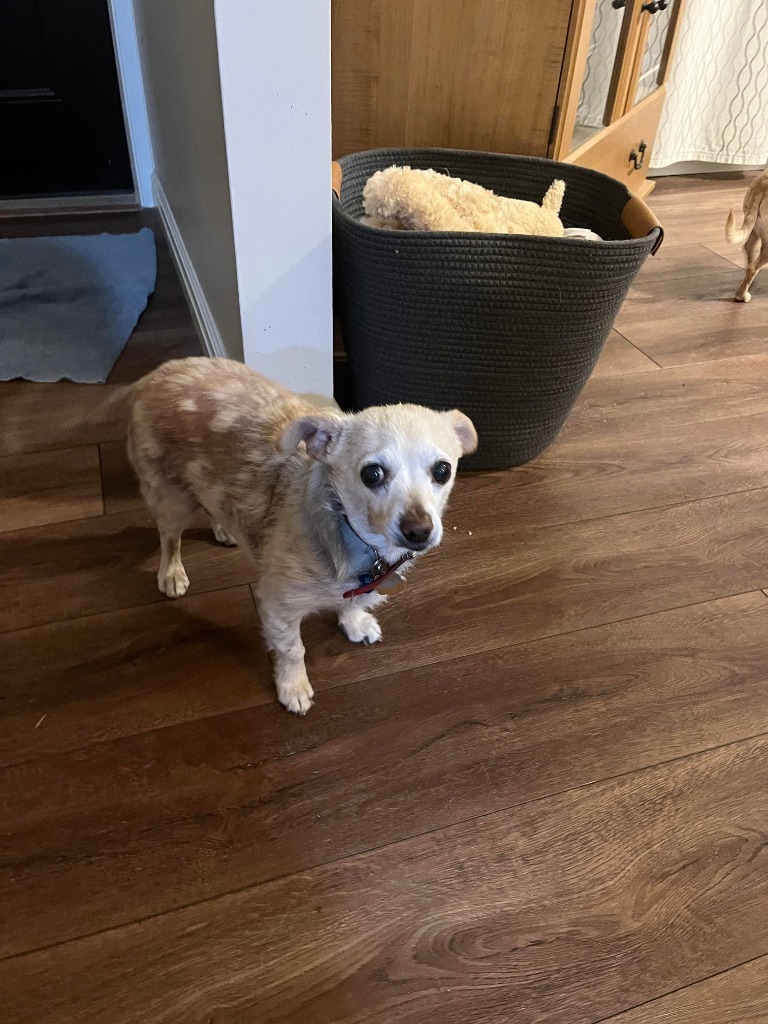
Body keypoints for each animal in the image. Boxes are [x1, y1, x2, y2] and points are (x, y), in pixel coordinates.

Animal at [128, 358, 475, 712]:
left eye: (443, 470)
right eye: (372, 474)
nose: (419, 530)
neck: (358, 541)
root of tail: (159, 373)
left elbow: (350, 604)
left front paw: (354, 622)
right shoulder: (278, 605)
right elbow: (292, 649)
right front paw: (293, 687)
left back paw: (224, 529)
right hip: (171, 499)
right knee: (170, 538)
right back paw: (172, 573)